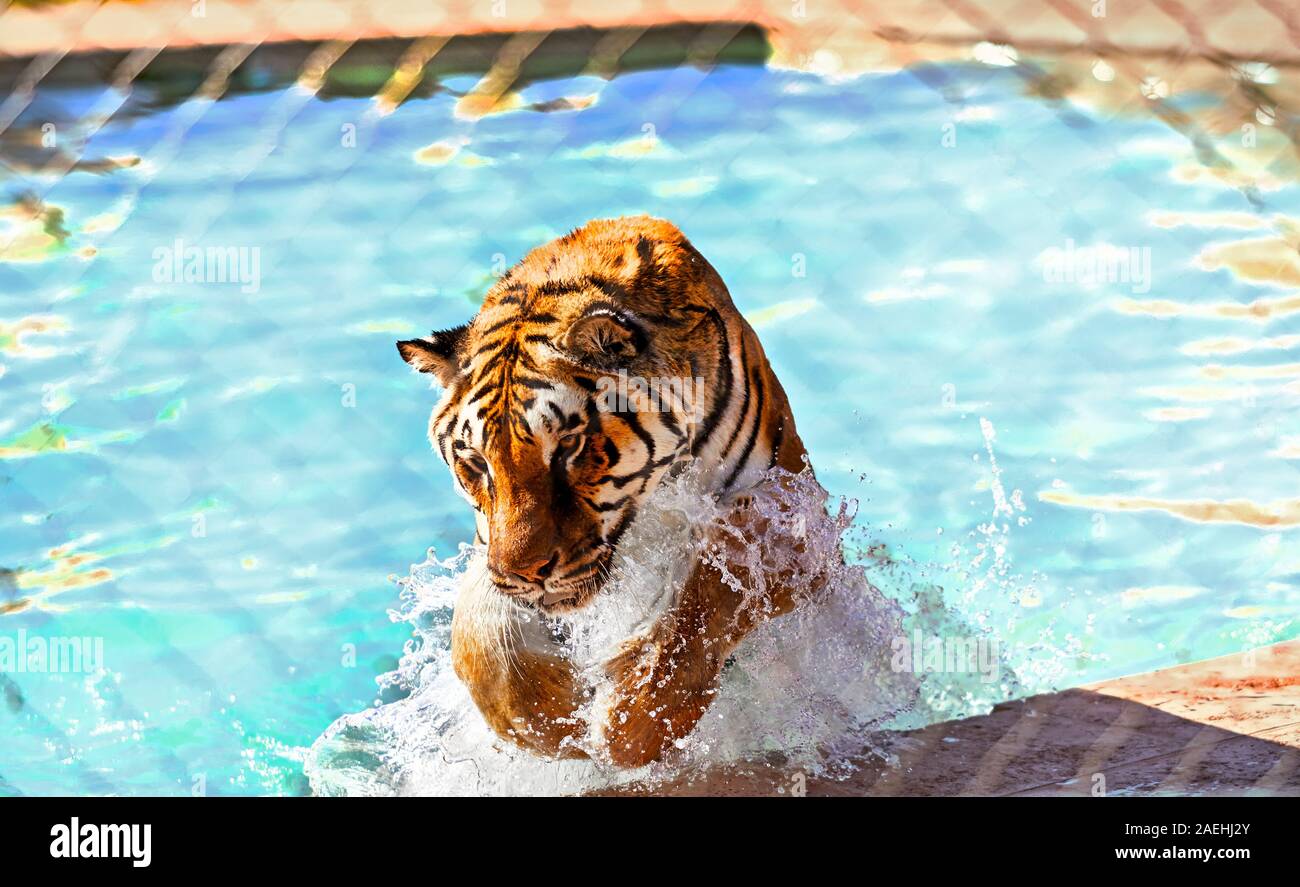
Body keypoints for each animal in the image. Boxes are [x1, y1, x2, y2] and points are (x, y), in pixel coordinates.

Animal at [397, 216, 827, 767]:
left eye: (568, 447)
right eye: (476, 463)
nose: (525, 574)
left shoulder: (792, 513)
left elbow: (710, 592)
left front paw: (632, 722)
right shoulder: (490, 552)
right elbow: (479, 628)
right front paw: (543, 723)